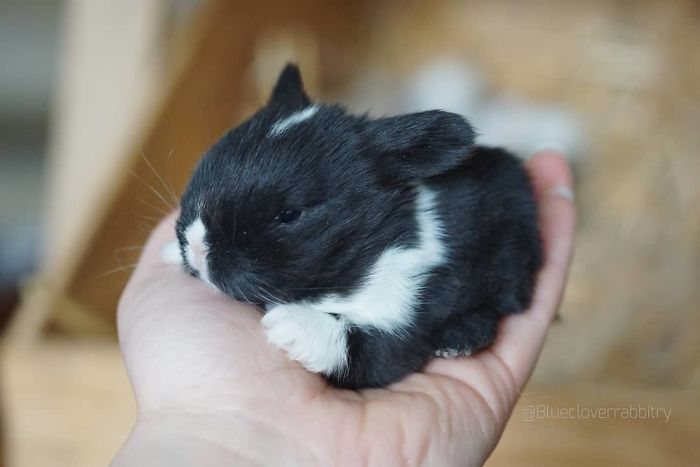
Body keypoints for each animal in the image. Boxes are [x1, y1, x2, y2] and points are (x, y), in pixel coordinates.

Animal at [169, 64, 542, 389]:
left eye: (289, 214)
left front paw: (293, 327)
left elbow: (360, 348)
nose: (197, 248)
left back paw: (460, 338)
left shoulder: (407, 316)